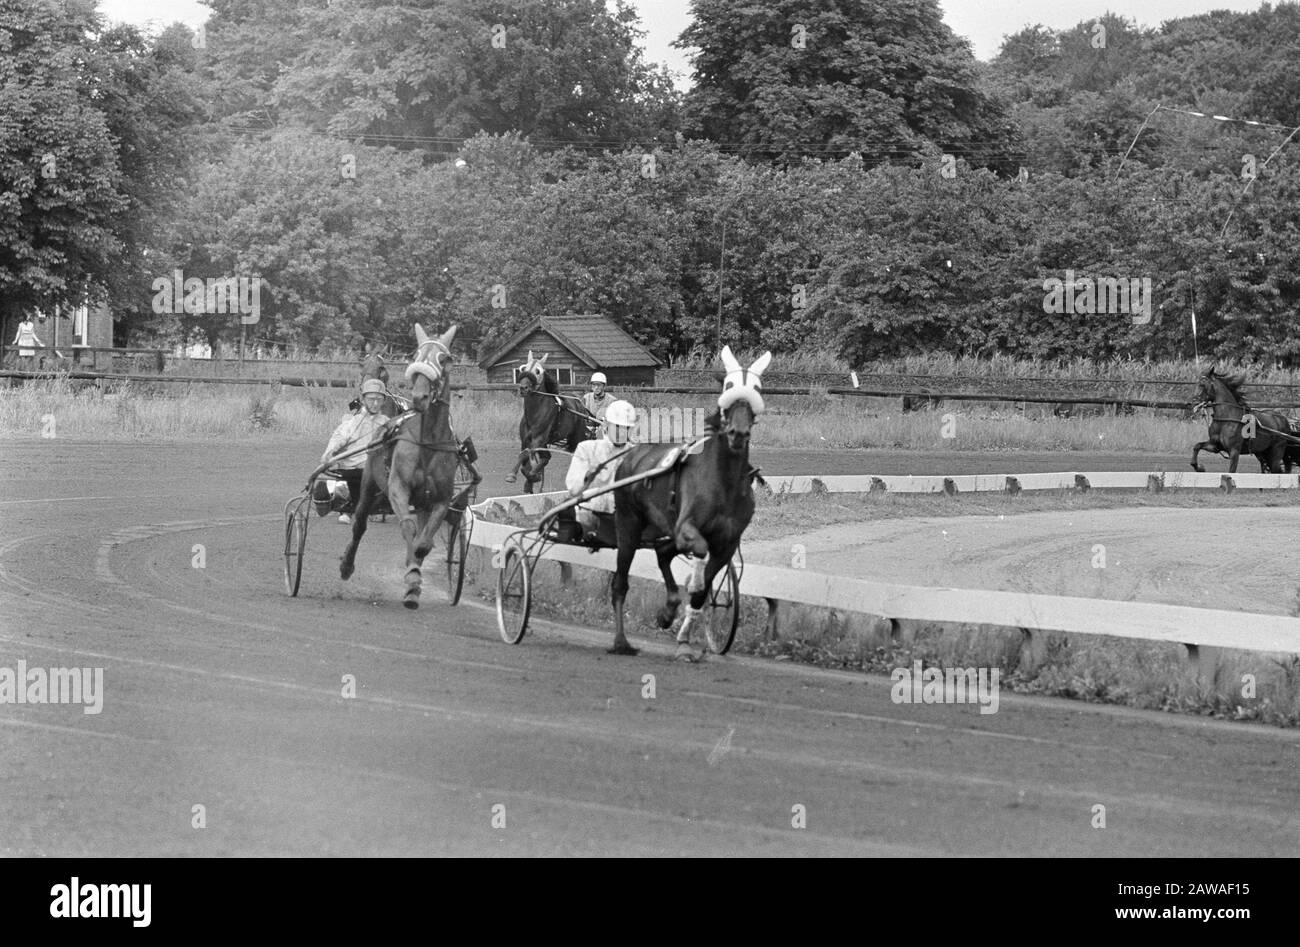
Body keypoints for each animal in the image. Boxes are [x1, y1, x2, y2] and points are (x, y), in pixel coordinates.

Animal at [340, 323, 462, 606]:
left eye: (444, 359)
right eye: (415, 356)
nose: (419, 396)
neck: (427, 441)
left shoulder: (441, 499)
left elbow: (424, 543)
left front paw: (414, 578)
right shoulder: (398, 488)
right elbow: (408, 526)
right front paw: (412, 577)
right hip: (369, 486)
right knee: (359, 524)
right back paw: (347, 564)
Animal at [506, 348, 590, 496]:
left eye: (538, 371)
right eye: (523, 368)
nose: (523, 388)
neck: (535, 412)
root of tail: (579, 403)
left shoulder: (538, 438)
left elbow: (527, 454)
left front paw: (523, 476)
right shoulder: (526, 439)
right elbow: (524, 459)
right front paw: (530, 480)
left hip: (577, 436)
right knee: (547, 457)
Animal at [608, 346, 769, 658]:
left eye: (756, 389)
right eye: (728, 386)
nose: (738, 433)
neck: (724, 482)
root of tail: (631, 456)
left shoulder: (727, 543)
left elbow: (703, 587)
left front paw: (684, 638)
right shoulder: (688, 527)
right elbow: (700, 558)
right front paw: (692, 582)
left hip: (663, 529)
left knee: (662, 553)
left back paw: (668, 609)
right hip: (628, 525)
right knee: (620, 583)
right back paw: (621, 641)